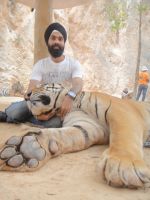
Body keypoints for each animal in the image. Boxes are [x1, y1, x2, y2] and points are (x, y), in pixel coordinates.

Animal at [0, 83, 150, 189]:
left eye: (43, 85)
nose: (26, 95)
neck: (73, 105)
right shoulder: (88, 125)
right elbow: (66, 134)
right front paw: (28, 149)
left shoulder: (120, 109)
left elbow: (124, 132)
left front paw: (123, 165)